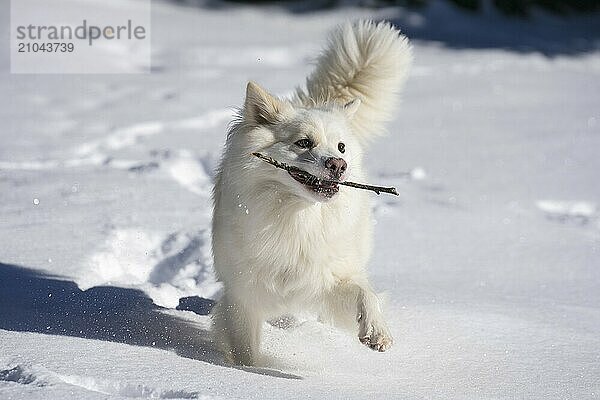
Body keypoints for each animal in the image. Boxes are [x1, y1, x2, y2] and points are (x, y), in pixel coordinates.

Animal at [211, 19, 412, 366]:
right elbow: (245, 349)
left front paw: (376, 333)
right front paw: (245, 372)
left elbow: (365, 293)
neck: (298, 217)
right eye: (303, 143)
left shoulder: (329, 279)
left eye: (341, 147)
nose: (339, 165)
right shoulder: (242, 296)